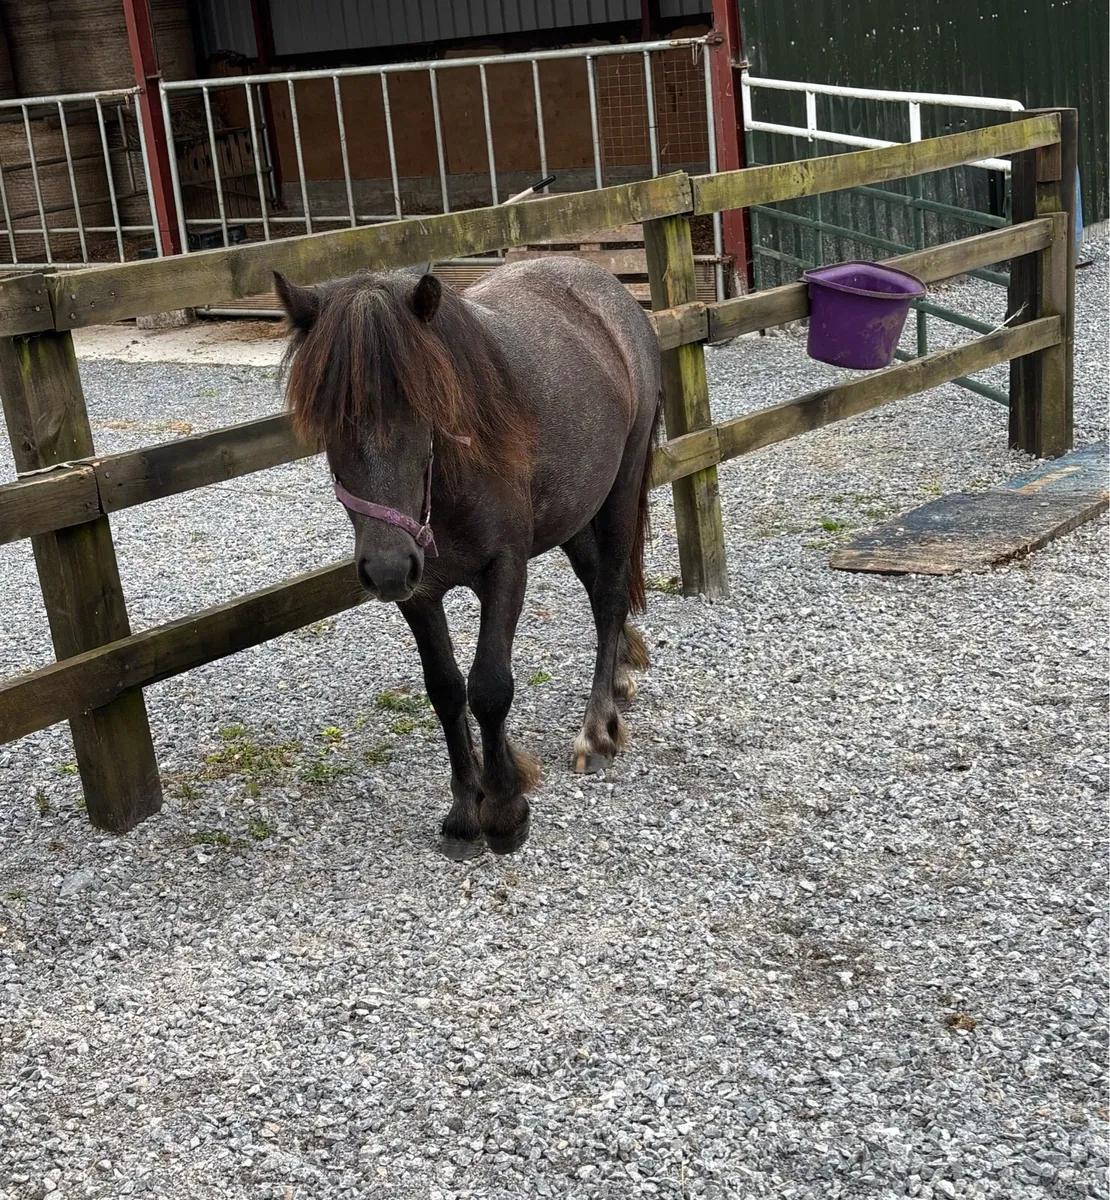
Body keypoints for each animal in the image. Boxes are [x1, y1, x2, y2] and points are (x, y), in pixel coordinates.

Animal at [275, 257, 662, 858]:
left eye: (423, 405)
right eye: (329, 417)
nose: (387, 567)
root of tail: (607, 288)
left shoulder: (505, 570)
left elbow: (489, 687)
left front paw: (503, 809)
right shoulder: (419, 594)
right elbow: (445, 690)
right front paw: (464, 809)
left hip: (622, 486)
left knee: (611, 594)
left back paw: (598, 730)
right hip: (575, 513)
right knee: (600, 590)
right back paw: (619, 678)